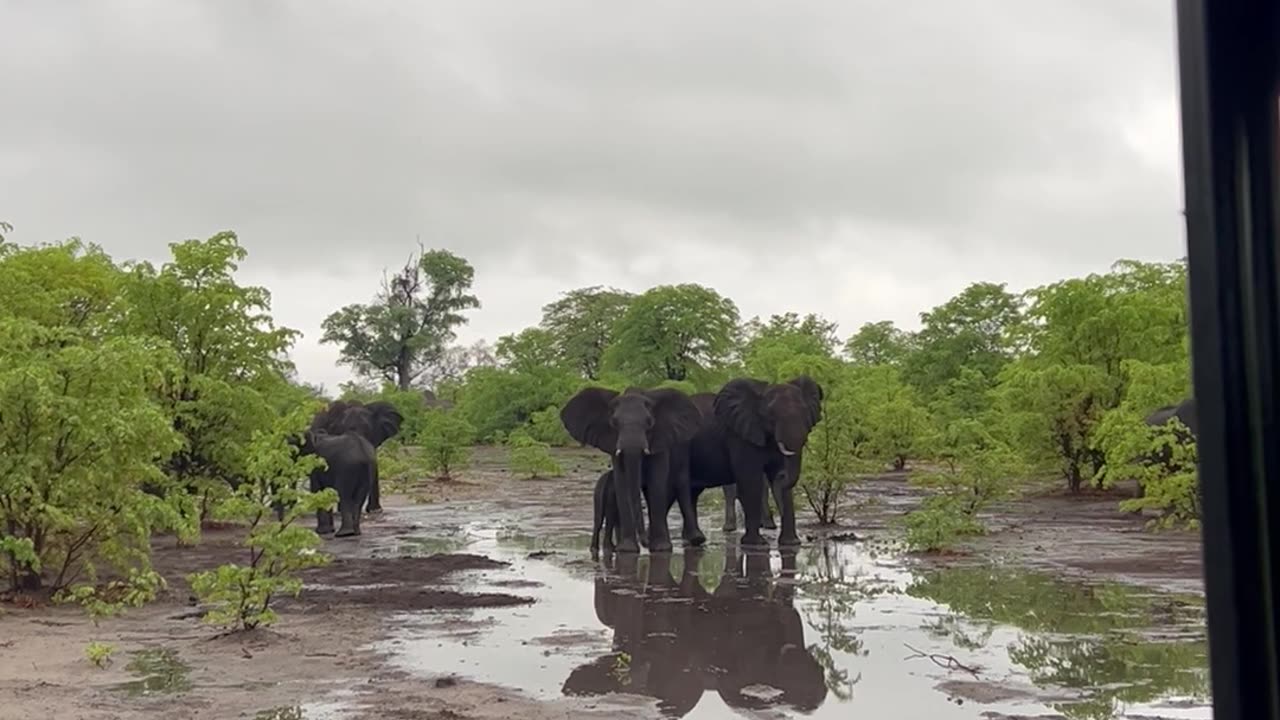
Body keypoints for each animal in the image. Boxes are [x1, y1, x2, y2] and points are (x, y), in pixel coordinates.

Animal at [560, 386, 701, 548]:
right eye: (614, 423)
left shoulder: (661, 440)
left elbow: (657, 483)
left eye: (649, 422)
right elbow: (622, 482)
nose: (645, 543)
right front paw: (627, 549)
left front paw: (661, 548)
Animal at [686, 376, 824, 543]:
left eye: (805, 412)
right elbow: (750, 480)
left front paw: (790, 543)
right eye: (771, 415)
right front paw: (756, 543)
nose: (782, 475)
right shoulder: (739, 436)